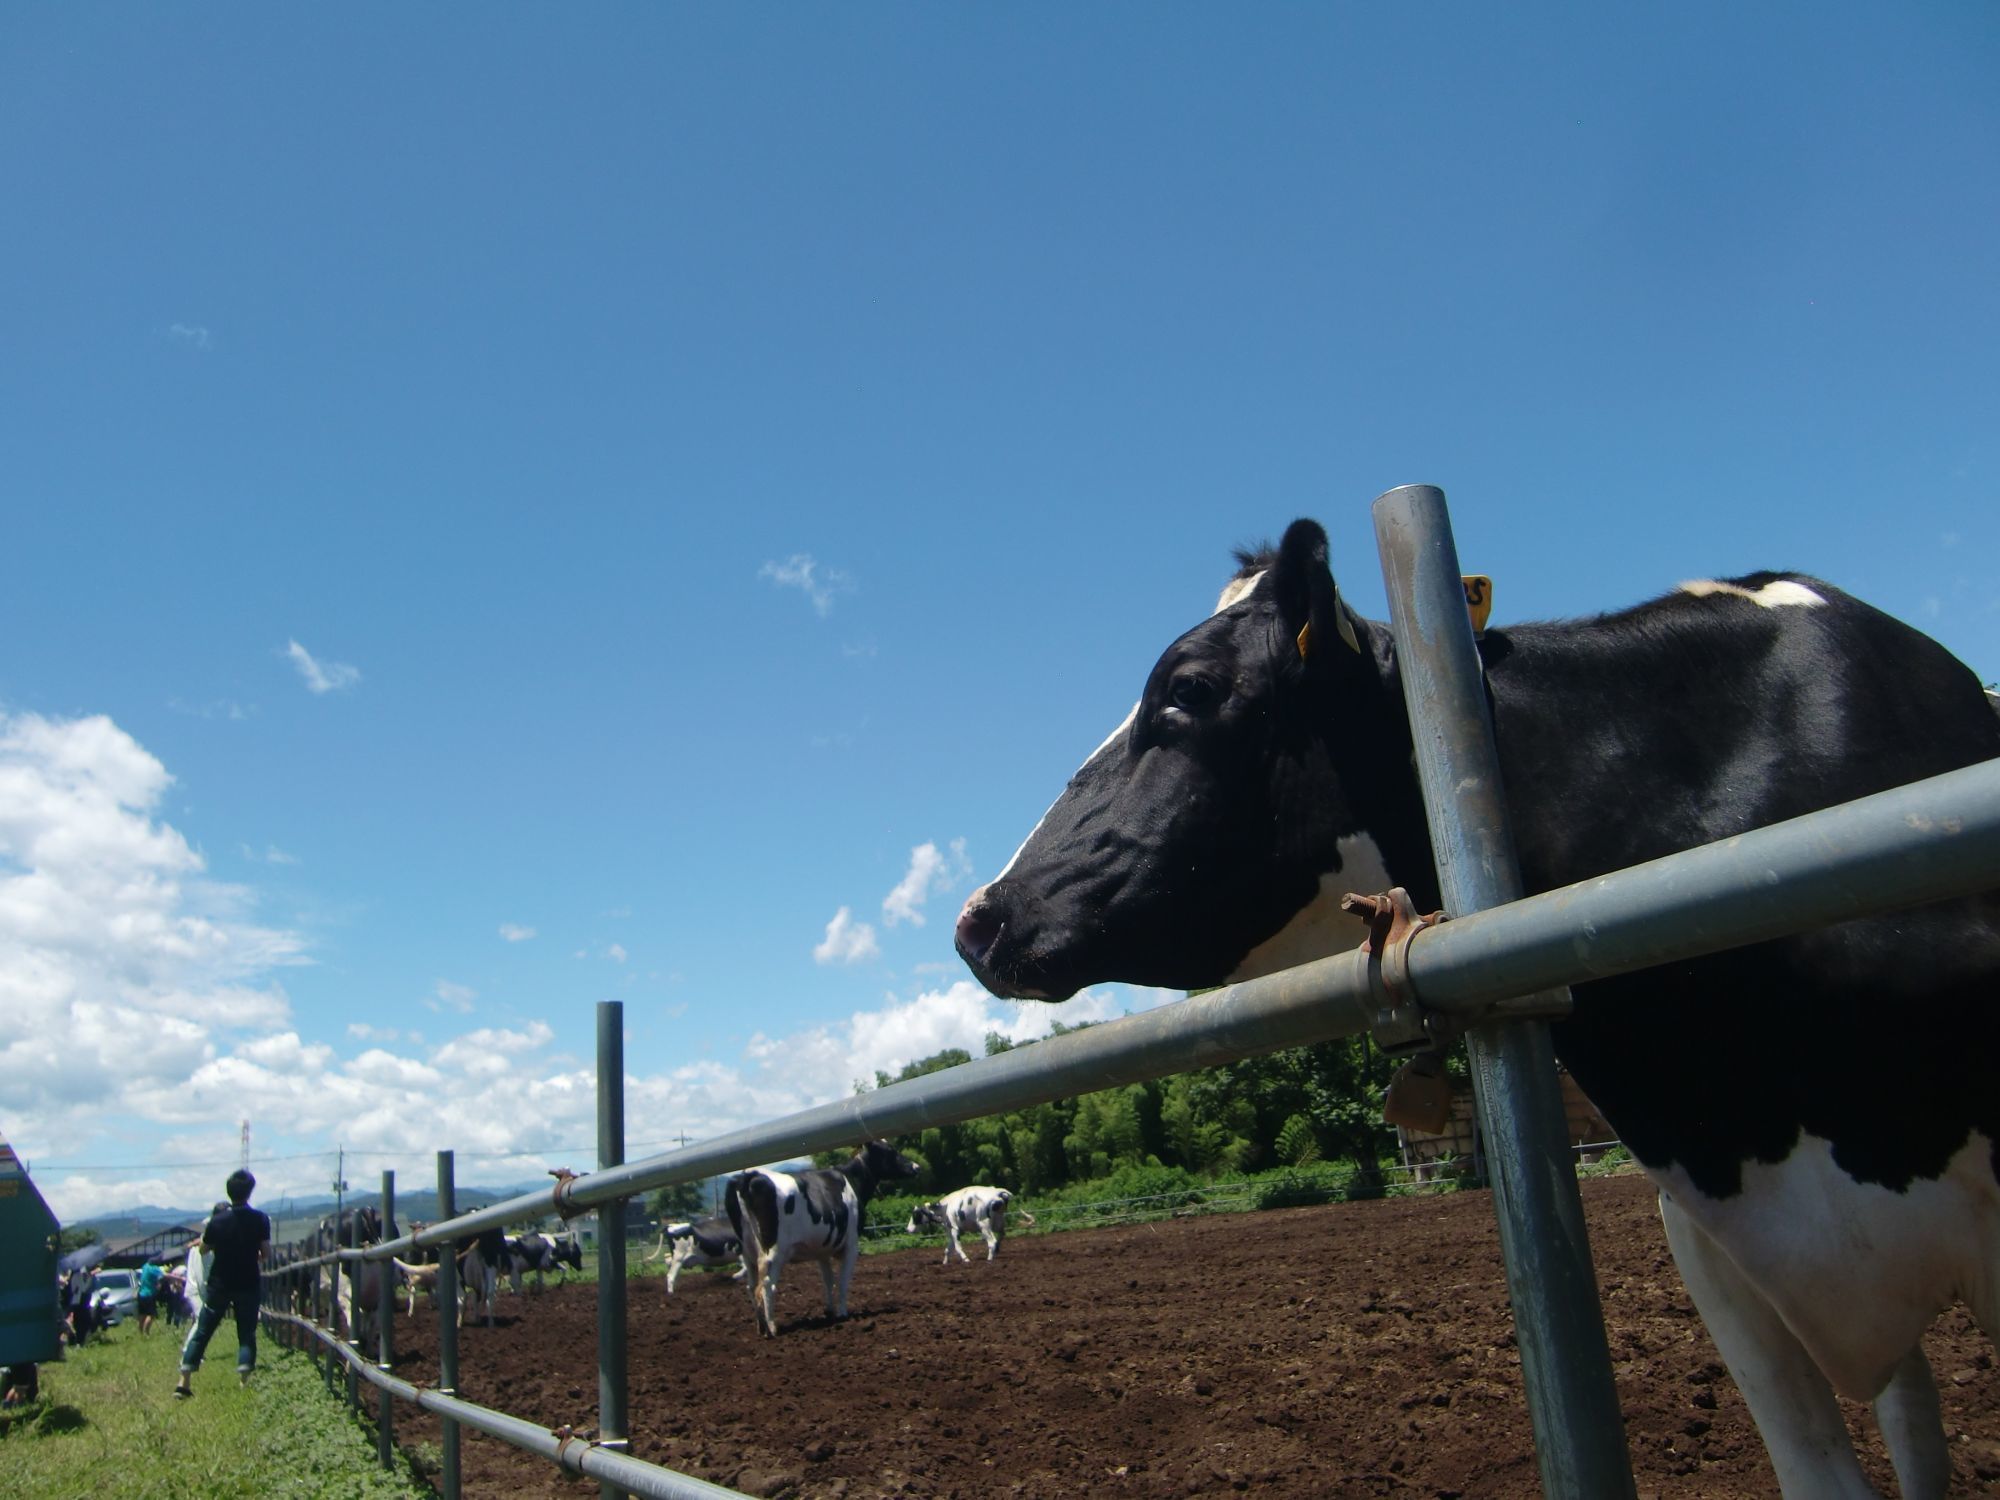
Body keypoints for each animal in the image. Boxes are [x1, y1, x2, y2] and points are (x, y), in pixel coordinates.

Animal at [724, 1144, 916, 1344]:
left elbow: (828, 1279)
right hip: (773, 1251)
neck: (851, 1180)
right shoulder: (852, 1244)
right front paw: (842, 1313)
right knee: (767, 1285)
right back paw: (772, 1328)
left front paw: (829, 1311)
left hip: (748, 1253)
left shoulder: (821, 1250)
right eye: (891, 1151)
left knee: (752, 1287)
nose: (915, 1166)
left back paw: (761, 1327)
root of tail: (749, 1175)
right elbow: (842, 1280)